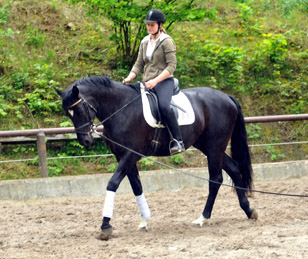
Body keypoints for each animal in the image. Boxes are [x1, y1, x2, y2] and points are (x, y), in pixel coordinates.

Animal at [55, 76, 258, 241]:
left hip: (215, 145)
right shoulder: (123, 156)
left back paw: (203, 218)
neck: (121, 108)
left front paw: (105, 226)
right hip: (207, 146)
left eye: (79, 109)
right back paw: (248, 210)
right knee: (233, 168)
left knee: (216, 178)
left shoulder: (131, 153)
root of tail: (227, 97)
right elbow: (136, 186)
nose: (85, 141)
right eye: (67, 113)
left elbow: (113, 183)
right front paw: (144, 220)